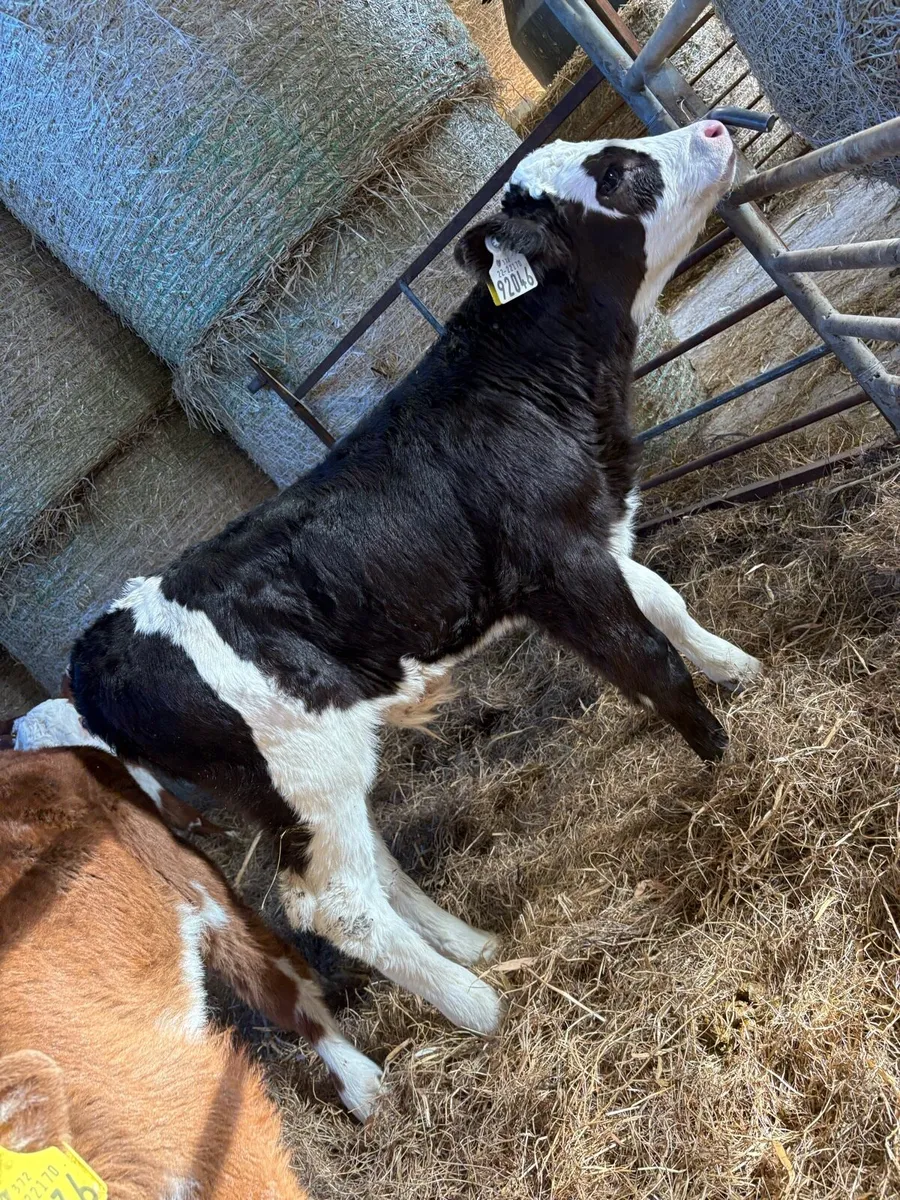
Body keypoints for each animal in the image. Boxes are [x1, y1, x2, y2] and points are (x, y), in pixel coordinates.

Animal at [68, 120, 761, 1040]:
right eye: (614, 175)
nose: (715, 127)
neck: (523, 386)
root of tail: (95, 648)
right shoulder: (560, 566)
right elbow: (649, 662)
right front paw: (725, 755)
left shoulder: (596, 533)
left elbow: (667, 606)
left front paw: (743, 669)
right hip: (302, 766)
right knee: (334, 905)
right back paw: (479, 1005)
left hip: (302, 785)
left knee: (367, 860)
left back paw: (473, 945)